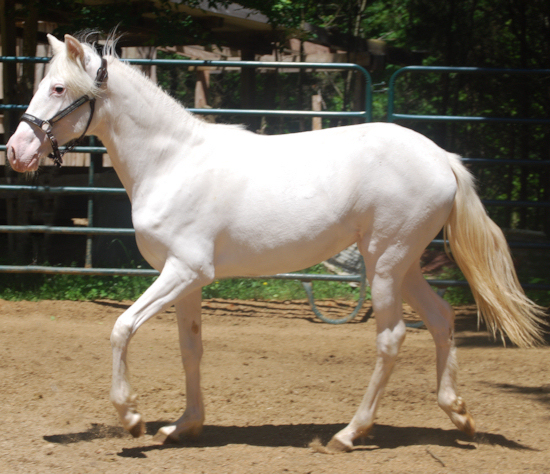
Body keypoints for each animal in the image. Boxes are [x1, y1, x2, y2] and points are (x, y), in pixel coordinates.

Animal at [5, 34, 548, 452]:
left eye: (58, 87)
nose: (16, 151)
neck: (172, 162)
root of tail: (443, 158)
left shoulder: (184, 271)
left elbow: (121, 329)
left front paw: (133, 418)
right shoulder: (187, 280)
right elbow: (190, 348)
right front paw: (182, 427)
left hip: (386, 264)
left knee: (392, 338)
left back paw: (348, 434)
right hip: (404, 263)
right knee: (439, 318)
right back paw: (458, 415)